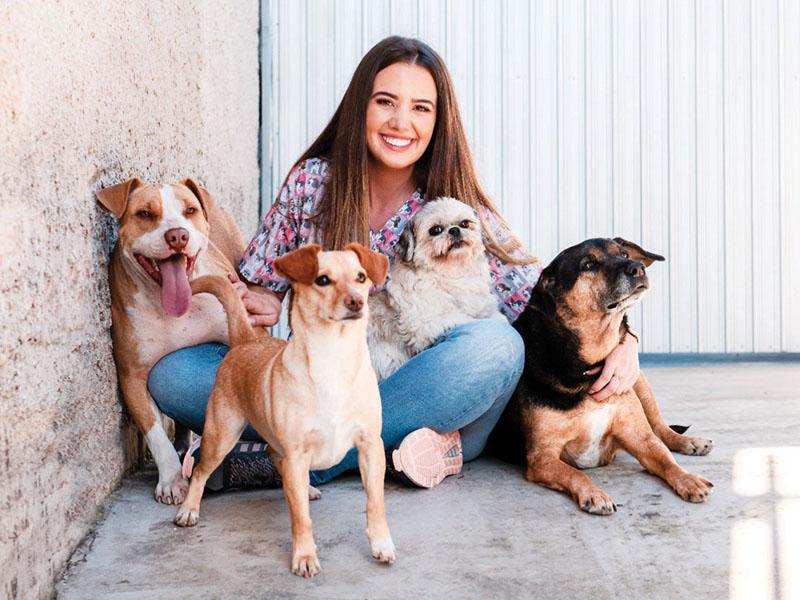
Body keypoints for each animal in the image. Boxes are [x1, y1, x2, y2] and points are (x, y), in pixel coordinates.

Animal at [99, 177, 252, 502]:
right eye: (145, 213)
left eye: (189, 210)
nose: (178, 235)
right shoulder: (132, 376)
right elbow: (156, 433)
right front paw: (170, 479)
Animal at [177, 243, 398, 576]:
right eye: (322, 280)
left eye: (361, 277)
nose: (356, 301)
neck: (334, 359)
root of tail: (245, 341)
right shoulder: (296, 453)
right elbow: (301, 517)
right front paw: (304, 556)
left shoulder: (370, 446)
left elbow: (375, 502)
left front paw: (382, 543)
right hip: (222, 435)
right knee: (201, 470)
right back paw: (189, 508)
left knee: (272, 454)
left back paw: (306, 488)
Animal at [368, 199, 500, 382]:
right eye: (435, 230)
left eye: (464, 223)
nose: (454, 229)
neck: (451, 275)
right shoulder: (427, 324)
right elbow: (468, 319)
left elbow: (497, 316)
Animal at [490, 239, 716, 516]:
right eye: (588, 264)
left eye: (624, 254)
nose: (637, 267)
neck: (589, 367)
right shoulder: (542, 457)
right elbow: (576, 473)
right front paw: (594, 494)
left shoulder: (639, 437)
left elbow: (665, 459)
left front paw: (687, 478)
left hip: (638, 379)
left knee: (660, 428)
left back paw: (689, 442)